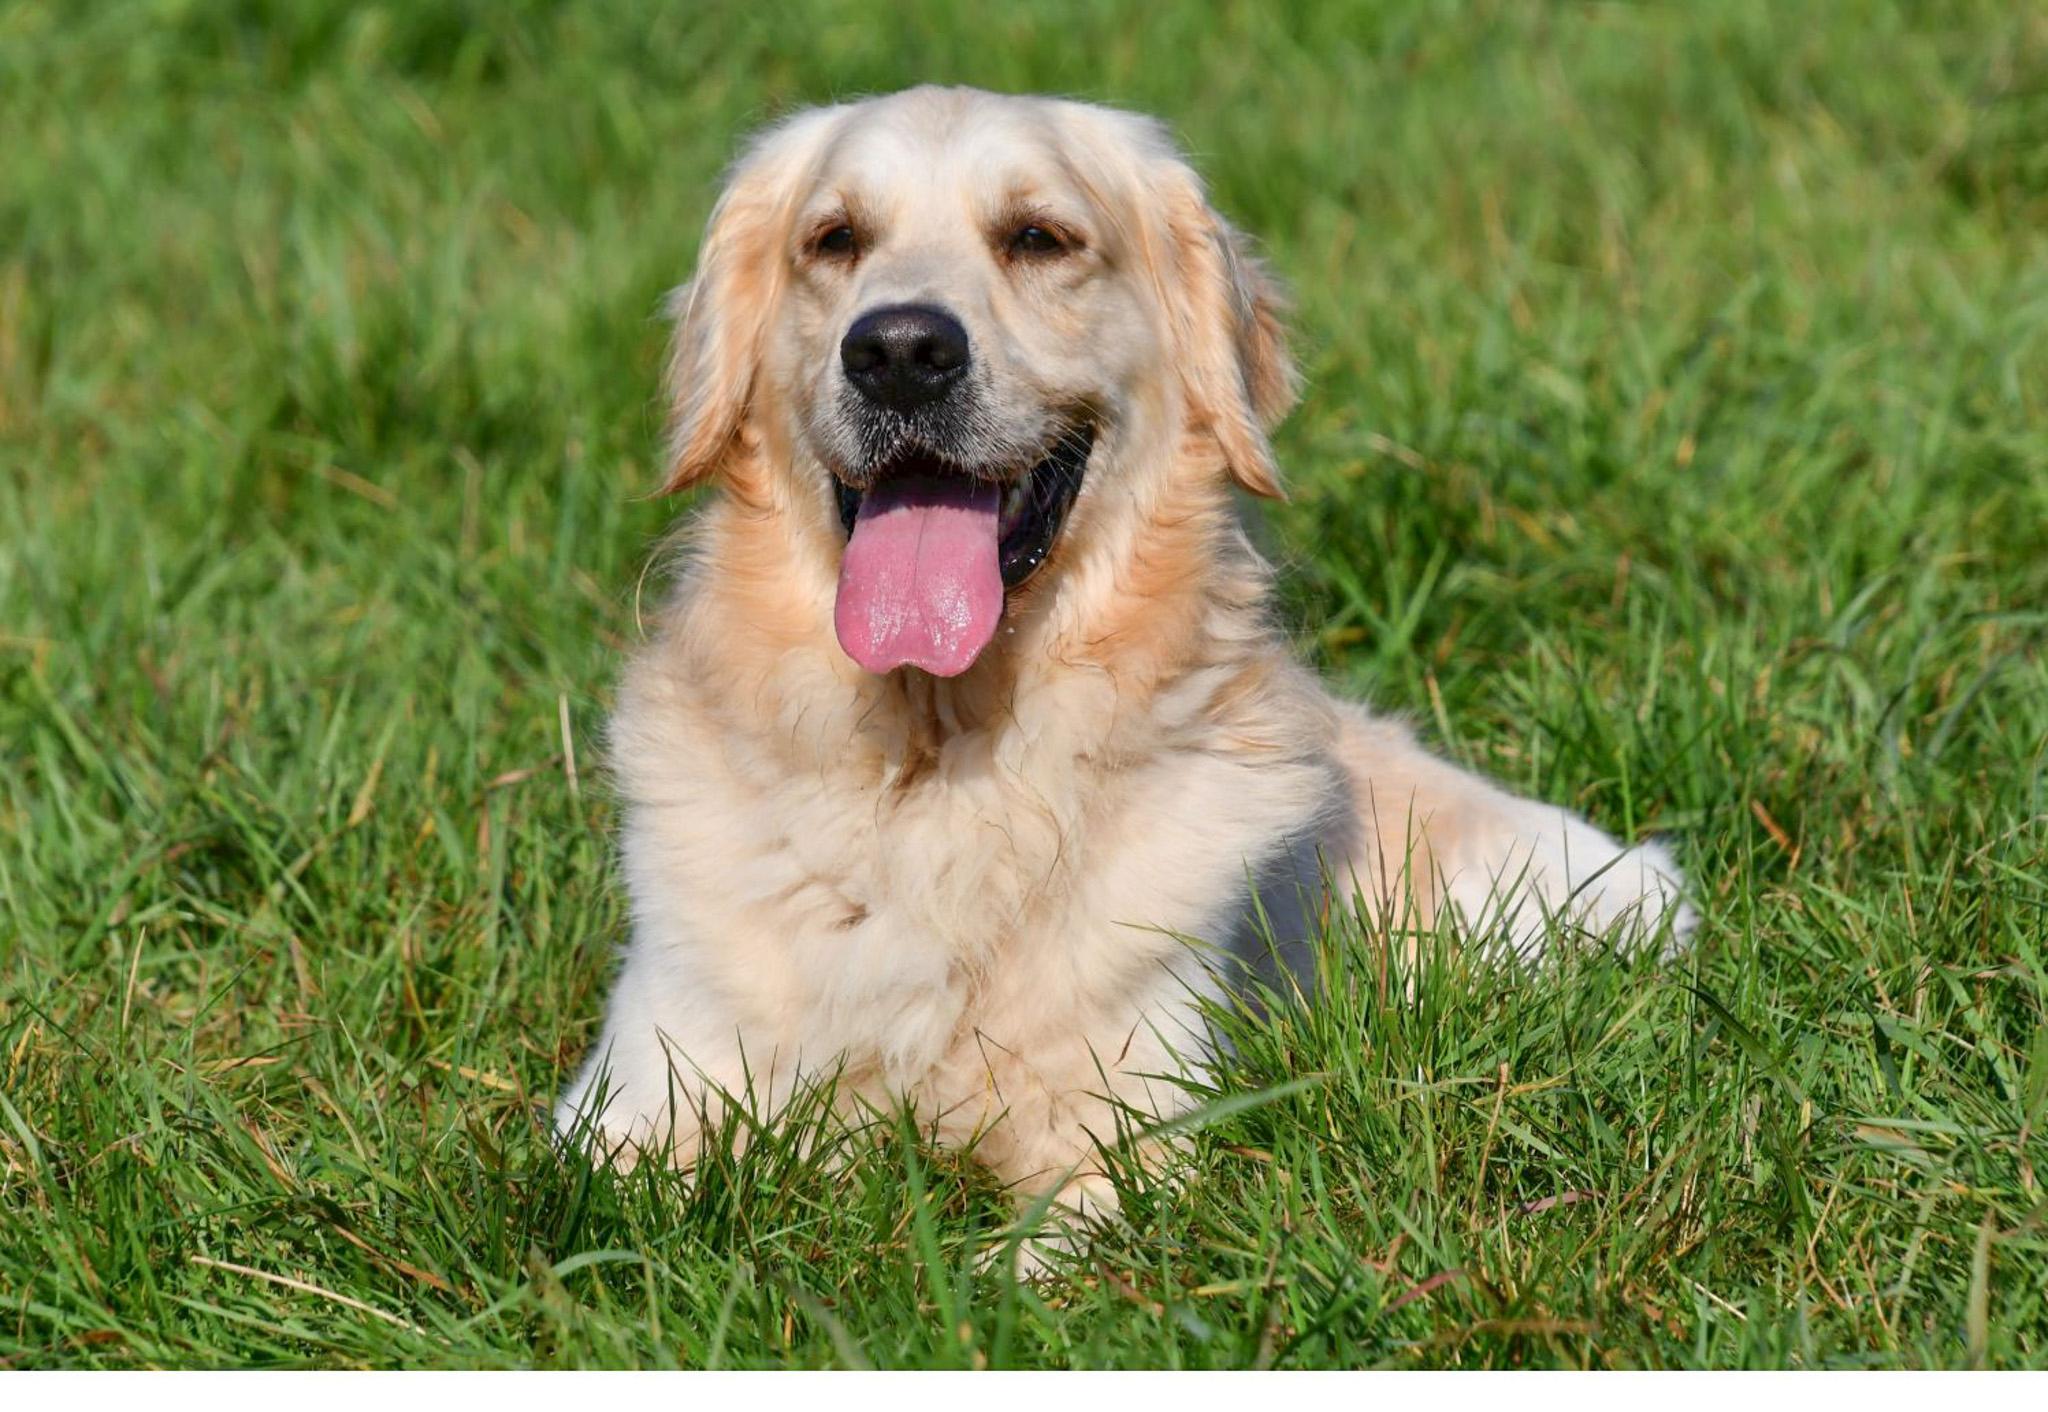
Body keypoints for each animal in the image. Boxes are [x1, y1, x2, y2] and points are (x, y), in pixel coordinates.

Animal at [552, 85, 1687, 1246]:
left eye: (1037, 237)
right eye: (834, 239)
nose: (900, 350)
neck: (942, 763)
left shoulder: (1130, 1128)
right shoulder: (639, 1091)